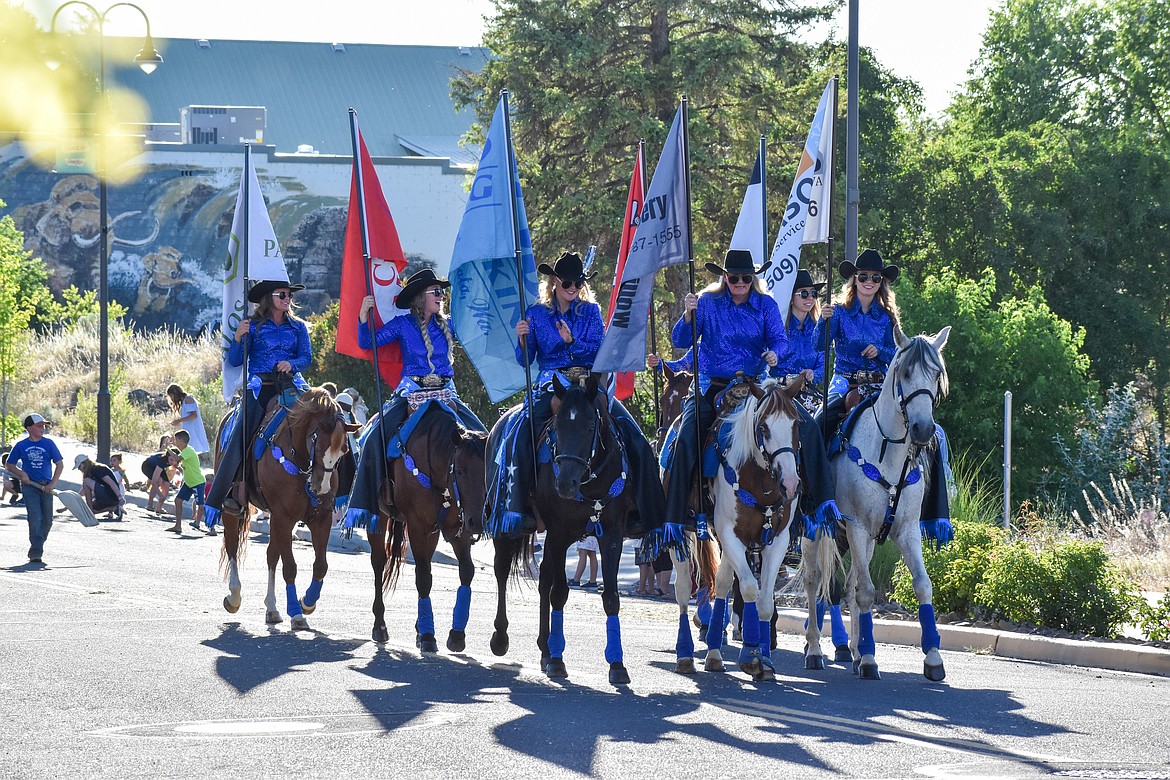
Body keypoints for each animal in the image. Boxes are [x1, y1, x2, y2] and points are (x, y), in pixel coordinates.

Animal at [217, 388, 355, 631]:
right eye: (318, 444)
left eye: (344, 450)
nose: (322, 490)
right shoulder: (284, 517)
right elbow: (290, 567)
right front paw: (296, 612)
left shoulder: (320, 519)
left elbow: (321, 565)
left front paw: (307, 602)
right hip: (235, 509)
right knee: (232, 544)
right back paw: (234, 596)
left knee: (271, 555)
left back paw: (271, 608)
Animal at [369, 402, 489, 654]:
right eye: (460, 471)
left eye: (486, 473)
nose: (476, 522)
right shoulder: (417, 526)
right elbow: (423, 576)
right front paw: (427, 636)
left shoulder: (456, 527)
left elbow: (466, 571)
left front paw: (456, 635)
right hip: (379, 518)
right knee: (379, 562)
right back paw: (380, 626)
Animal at [484, 371, 636, 682]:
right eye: (557, 427)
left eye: (590, 426)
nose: (565, 484)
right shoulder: (558, 533)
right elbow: (560, 593)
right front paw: (557, 661)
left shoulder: (611, 535)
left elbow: (611, 597)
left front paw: (617, 665)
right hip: (508, 526)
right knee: (502, 571)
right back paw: (502, 638)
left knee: (543, 579)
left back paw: (545, 647)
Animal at [804, 327, 950, 678]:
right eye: (906, 372)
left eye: (936, 374)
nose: (923, 429)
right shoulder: (856, 525)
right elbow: (867, 591)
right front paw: (870, 659)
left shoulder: (905, 530)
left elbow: (922, 585)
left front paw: (933, 658)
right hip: (815, 529)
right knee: (814, 581)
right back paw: (814, 650)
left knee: (849, 583)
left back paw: (854, 650)